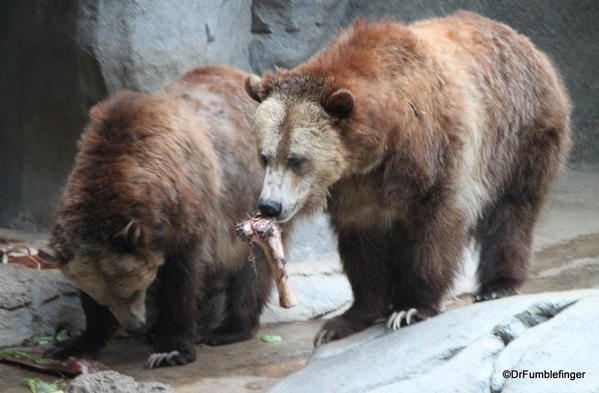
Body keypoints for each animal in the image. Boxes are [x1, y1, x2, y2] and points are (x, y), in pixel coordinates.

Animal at [42, 66, 274, 366]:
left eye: (131, 288)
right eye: (104, 297)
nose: (133, 326)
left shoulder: (188, 210)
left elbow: (181, 281)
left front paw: (171, 349)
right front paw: (71, 343)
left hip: (253, 193)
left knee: (253, 264)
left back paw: (227, 328)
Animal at [244, 10, 572, 344]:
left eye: (296, 159)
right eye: (265, 156)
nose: (270, 205)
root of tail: (524, 41)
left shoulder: (433, 149)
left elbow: (433, 227)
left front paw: (411, 307)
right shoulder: (354, 187)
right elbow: (363, 248)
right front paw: (344, 320)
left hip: (520, 135)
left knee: (512, 210)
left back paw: (497, 285)